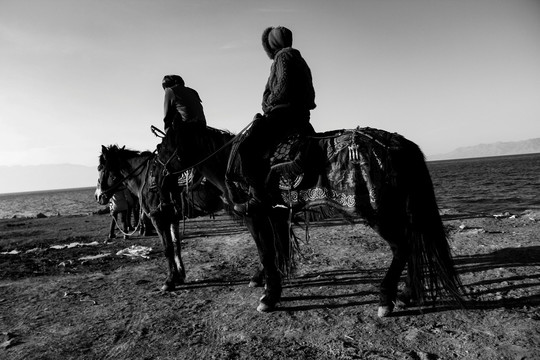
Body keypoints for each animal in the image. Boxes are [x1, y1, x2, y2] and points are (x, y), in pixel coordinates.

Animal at [96, 145, 223, 292]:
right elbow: (176, 246)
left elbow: (167, 248)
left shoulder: (158, 219)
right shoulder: (172, 218)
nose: (98, 196)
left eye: (100, 168)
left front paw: (169, 281)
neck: (143, 179)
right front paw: (180, 276)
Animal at [157, 122, 464, 316]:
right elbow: (277, 250)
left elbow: (266, 252)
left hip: (380, 213)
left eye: (163, 149)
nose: (159, 183)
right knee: (412, 244)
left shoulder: (256, 216)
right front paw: (274, 284)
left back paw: (386, 299)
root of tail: (400, 144)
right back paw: (407, 294)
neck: (229, 164)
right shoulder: (277, 215)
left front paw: (269, 296)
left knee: (402, 247)